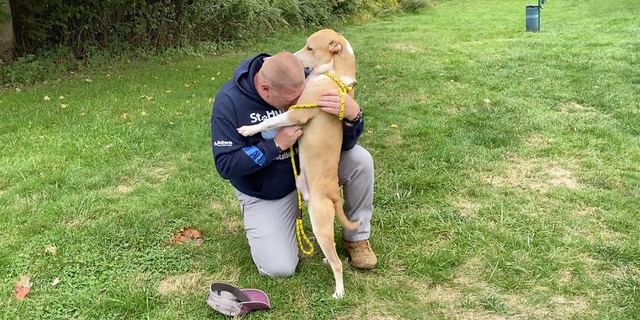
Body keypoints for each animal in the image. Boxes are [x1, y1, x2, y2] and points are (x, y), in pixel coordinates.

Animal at [238, 28, 362, 298]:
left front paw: (249, 129)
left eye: (310, 48)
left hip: (319, 222)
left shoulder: (297, 112)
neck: (333, 73)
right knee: (332, 253)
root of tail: (332, 196)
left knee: (338, 263)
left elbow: (269, 122)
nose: (292, 56)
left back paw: (339, 291)